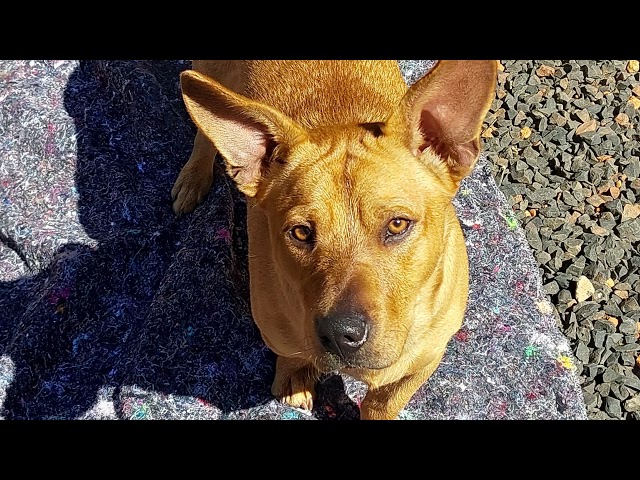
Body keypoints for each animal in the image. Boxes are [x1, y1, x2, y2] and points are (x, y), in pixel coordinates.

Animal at [172, 61, 498, 420]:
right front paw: (296, 376)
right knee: (203, 132)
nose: (342, 334)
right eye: (301, 232)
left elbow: (384, 402)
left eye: (398, 224)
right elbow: (292, 355)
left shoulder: (420, 364)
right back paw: (193, 177)